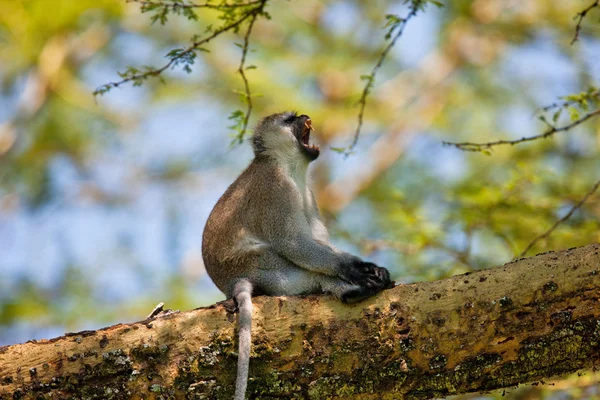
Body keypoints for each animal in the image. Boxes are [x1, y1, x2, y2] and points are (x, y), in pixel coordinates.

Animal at [202, 111, 394, 400]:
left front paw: (370, 268)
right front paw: (355, 269)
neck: (289, 167)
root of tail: (230, 283)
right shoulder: (276, 187)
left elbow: (317, 240)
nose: (305, 116)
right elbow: (293, 242)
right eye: (290, 119)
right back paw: (348, 290)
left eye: (296, 116)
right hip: (260, 265)